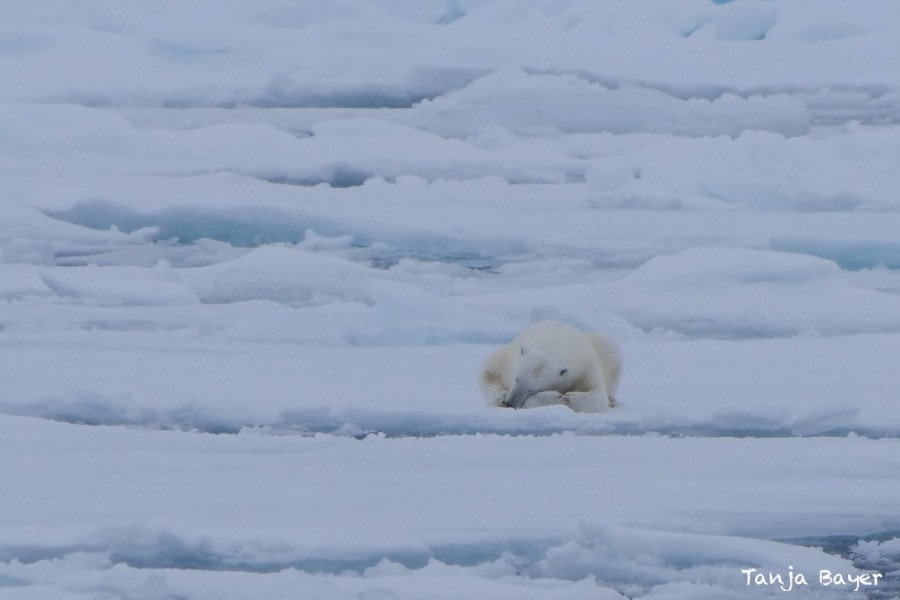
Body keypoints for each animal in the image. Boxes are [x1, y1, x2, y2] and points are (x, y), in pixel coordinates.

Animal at [482, 324, 624, 412]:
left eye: (533, 389)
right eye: (516, 379)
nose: (510, 402)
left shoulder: (586, 366)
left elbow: (598, 393)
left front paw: (570, 397)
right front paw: (557, 397)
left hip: (604, 348)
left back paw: (613, 401)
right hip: (502, 358)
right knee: (489, 372)